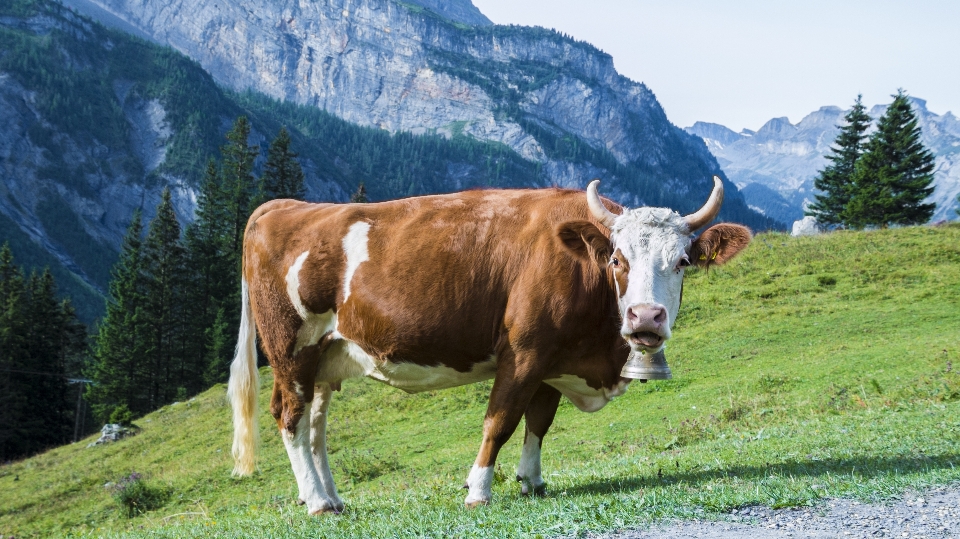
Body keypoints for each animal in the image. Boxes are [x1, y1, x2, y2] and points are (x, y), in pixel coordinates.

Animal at [229, 178, 752, 516]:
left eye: (683, 261)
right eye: (617, 260)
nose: (645, 317)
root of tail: (284, 206)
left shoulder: (552, 360)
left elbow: (539, 422)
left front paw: (532, 482)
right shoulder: (523, 352)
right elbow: (500, 422)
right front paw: (478, 489)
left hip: (326, 357)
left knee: (315, 427)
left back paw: (331, 498)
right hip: (291, 348)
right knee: (290, 418)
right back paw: (317, 502)